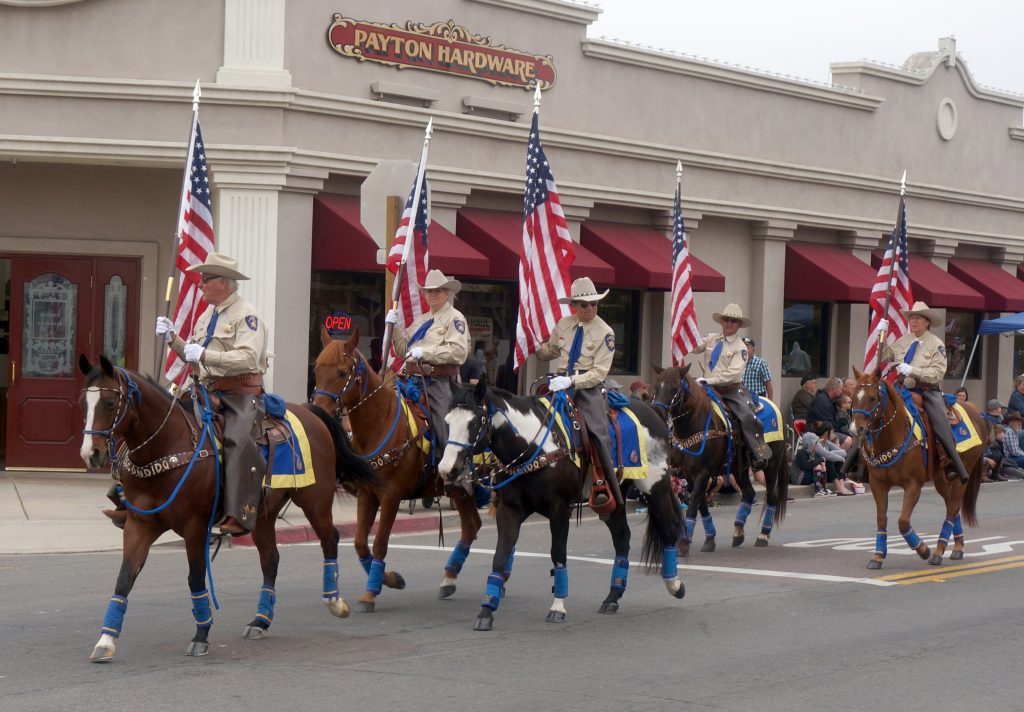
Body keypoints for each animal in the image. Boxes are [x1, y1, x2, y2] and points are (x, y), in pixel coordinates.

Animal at [77, 354, 376, 663]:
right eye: (82, 404)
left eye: (109, 403)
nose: (90, 454)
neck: (168, 444)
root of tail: (308, 411)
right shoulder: (140, 525)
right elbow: (124, 578)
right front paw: (106, 639)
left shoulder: (195, 527)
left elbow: (196, 578)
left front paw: (201, 635)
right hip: (260, 514)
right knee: (271, 559)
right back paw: (260, 620)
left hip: (315, 499)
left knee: (330, 539)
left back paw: (335, 601)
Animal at [307, 327, 483, 614]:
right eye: (316, 369)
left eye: (342, 373)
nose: (318, 411)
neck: (379, 423)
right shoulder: (367, 494)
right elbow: (360, 544)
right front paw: (389, 580)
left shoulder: (391, 496)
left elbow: (379, 543)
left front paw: (370, 594)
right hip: (458, 490)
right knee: (471, 526)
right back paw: (449, 578)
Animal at [438, 381, 684, 631]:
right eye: (447, 421)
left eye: (473, 423)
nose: (447, 470)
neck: (535, 447)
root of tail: (652, 409)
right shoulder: (510, 510)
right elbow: (500, 556)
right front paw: (486, 610)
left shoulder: (560, 509)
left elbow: (558, 553)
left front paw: (558, 606)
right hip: (615, 496)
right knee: (622, 537)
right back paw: (613, 597)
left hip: (655, 486)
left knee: (668, 529)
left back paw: (675, 585)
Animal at [651, 366, 786, 557]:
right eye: (656, 387)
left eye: (674, 387)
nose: (657, 411)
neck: (693, 424)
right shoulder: (691, 475)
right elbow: (701, 505)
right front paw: (709, 540)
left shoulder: (702, 474)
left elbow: (693, 506)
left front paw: (684, 543)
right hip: (739, 469)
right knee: (749, 493)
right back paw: (738, 532)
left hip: (772, 464)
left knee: (772, 495)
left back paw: (763, 536)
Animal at [847, 370, 983, 569]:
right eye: (852, 397)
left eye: (872, 398)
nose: (855, 429)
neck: (891, 437)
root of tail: (976, 412)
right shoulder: (877, 484)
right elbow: (881, 518)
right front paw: (878, 556)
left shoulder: (913, 485)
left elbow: (903, 521)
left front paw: (922, 549)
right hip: (942, 480)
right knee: (952, 506)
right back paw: (957, 547)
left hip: (961, 476)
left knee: (952, 508)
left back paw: (938, 552)